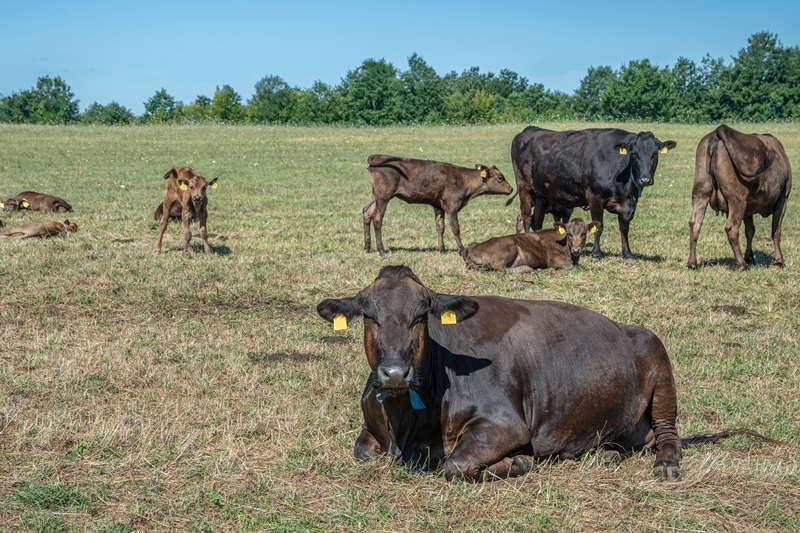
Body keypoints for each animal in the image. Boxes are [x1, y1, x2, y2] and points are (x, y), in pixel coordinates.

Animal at [317, 265, 781, 482]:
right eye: (368, 314)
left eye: (422, 314)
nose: (395, 373)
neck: (407, 424)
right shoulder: (372, 428)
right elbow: (362, 451)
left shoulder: (505, 423)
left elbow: (455, 464)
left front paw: (519, 463)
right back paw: (608, 453)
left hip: (659, 360)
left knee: (668, 433)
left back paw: (665, 464)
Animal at [363, 155, 513, 255]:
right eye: (500, 178)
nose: (511, 189)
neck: (464, 180)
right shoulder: (452, 206)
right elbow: (455, 228)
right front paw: (461, 249)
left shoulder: (438, 206)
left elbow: (440, 227)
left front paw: (442, 249)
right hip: (384, 196)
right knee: (377, 219)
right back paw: (381, 250)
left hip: (376, 196)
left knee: (367, 212)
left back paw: (367, 246)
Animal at [463, 218, 601, 272]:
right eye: (569, 234)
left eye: (584, 233)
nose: (576, 249)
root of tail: (471, 247)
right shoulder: (557, 261)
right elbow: (570, 267)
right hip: (509, 248)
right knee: (499, 267)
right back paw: (529, 269)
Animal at [511, 126, 676, 260]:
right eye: (634, 154)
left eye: (655, 154)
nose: (645, 179)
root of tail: (528, 130)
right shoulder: (595, 198)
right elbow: (599, 227)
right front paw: (596, 254)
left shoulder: (628, 204)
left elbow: (624, 228)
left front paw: (627, 253)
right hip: (524, 188)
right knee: (526, 218)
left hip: (541, 195)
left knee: (537, 220)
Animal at [687, 125, 792, 270]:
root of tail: (721, 129)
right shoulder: (783, 198)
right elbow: (776, 230)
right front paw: (779, 260)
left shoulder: (749, 206)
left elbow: (750, 230)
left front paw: (749, 256)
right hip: (737, 200)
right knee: (731, 228)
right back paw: (741, 264)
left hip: (700, 192)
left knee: (695, 223)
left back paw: (692, 262)